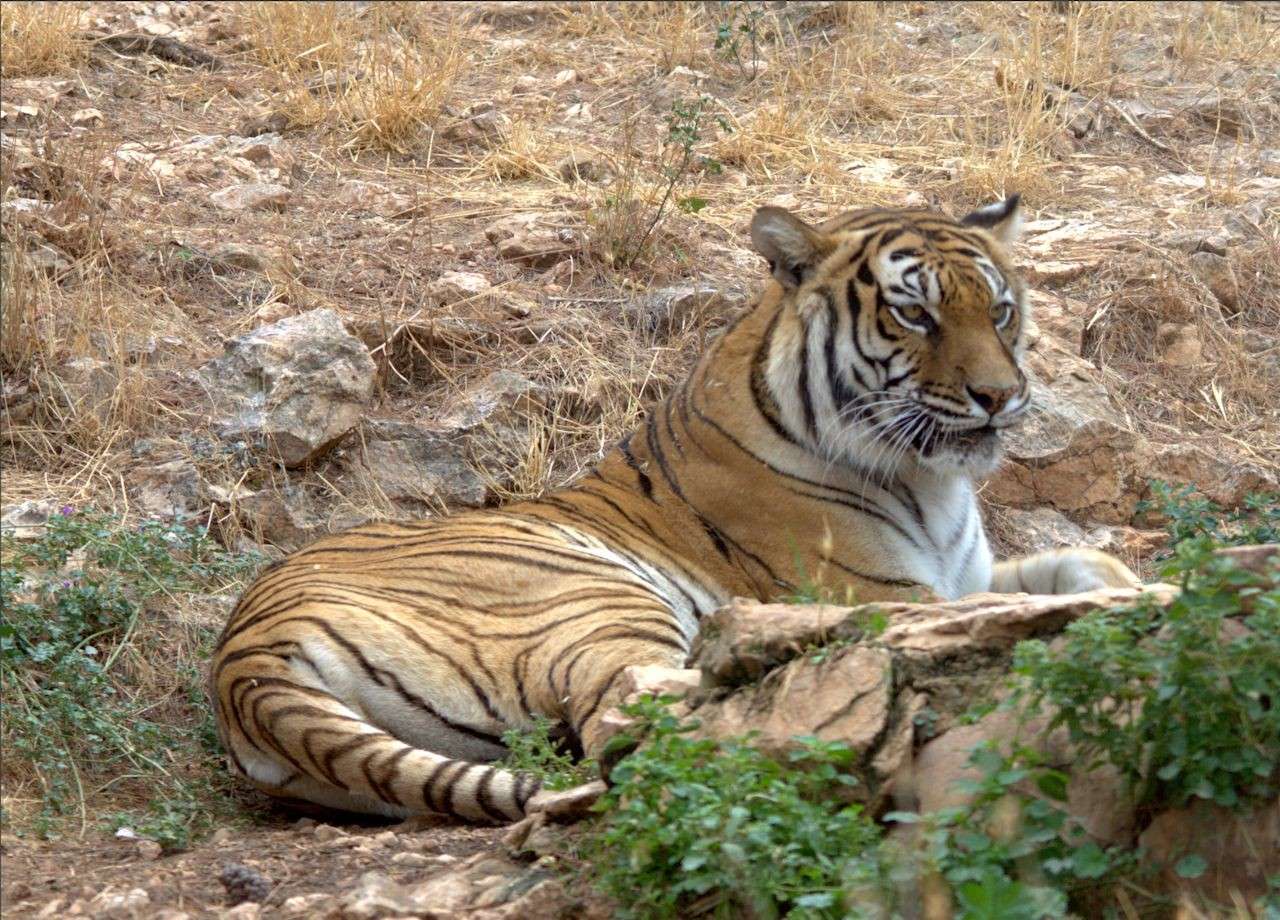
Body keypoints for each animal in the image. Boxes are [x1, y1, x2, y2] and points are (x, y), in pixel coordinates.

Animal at [209, 191, 1141, 818]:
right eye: (915, 315)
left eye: (1002, 311)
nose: (1000, 398)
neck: (928, 478)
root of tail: (241, 653)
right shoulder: (891, 592)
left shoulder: (963, 574)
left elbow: (1081, 563)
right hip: (592, 596)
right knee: (636, 717)